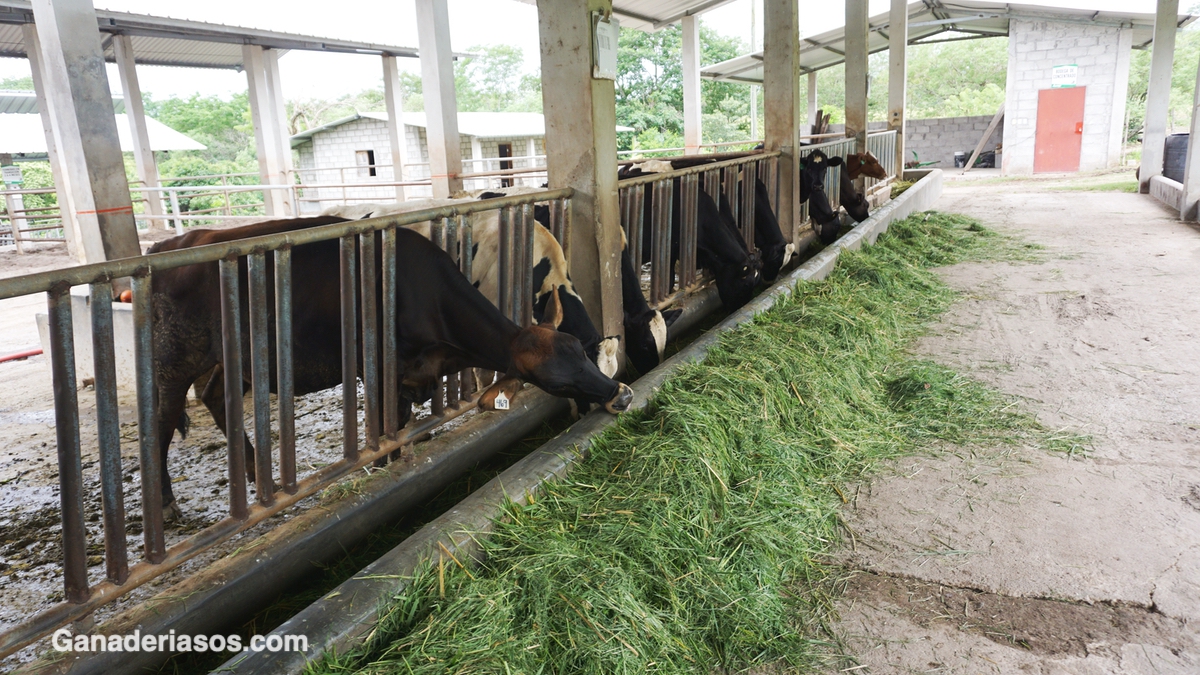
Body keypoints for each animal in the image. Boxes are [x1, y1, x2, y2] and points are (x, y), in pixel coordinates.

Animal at [146, 214, 633, 514]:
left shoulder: (412, 379)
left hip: (232, 359)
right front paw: (383, 473)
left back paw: (249, 468)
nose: (622, 395)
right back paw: (166, 502)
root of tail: (172, 244)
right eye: (557, 382)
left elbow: (396, 431)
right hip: (174, 359)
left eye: (581, 354)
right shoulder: (380, 372)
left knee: (214, 396)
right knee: (163, 422)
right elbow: (384, 433)